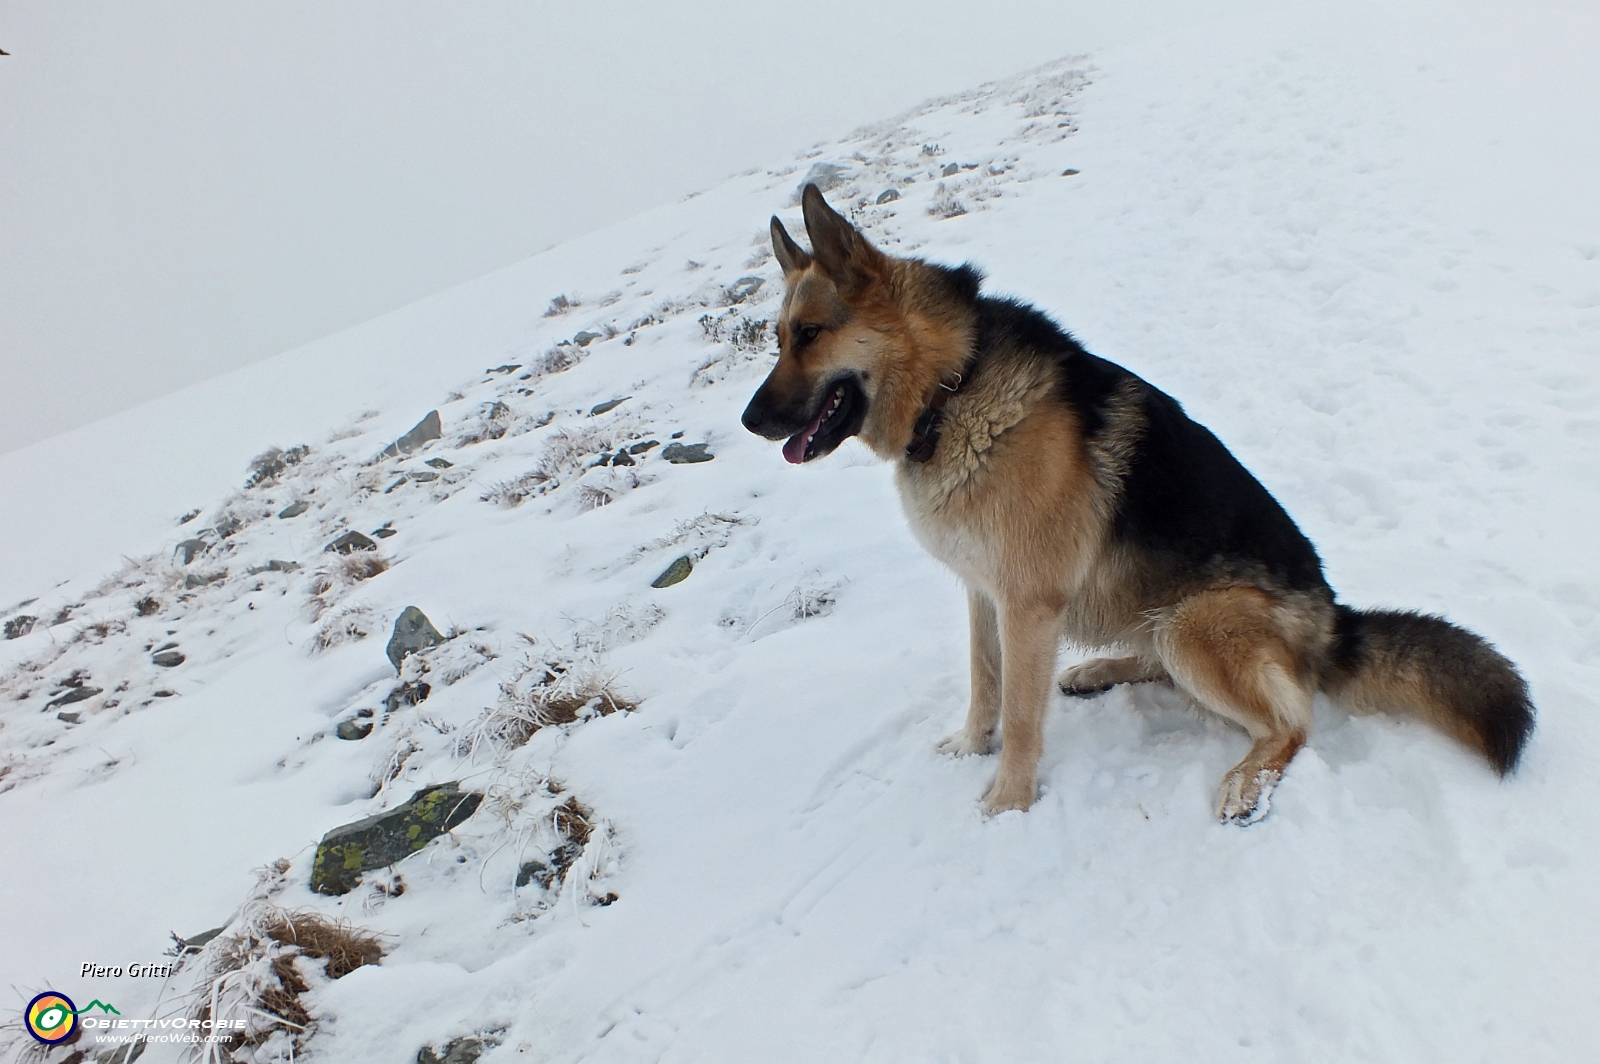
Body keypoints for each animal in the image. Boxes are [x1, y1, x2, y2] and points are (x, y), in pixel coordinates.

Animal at [742, 182, 1529, 816]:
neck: (953, 386)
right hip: (1155, 613)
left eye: (810, 335)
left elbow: (1020, 715)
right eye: (777, 339)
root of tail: (1334, 617)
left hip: (1196, 622)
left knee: (1293, 720)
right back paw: (1097, 669)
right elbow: (984, 680)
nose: (750, 422)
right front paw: (971, 744)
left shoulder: (1026, 603)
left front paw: (1008, 803)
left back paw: (1244, 782)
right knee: (1164, 663)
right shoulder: (983, 591)